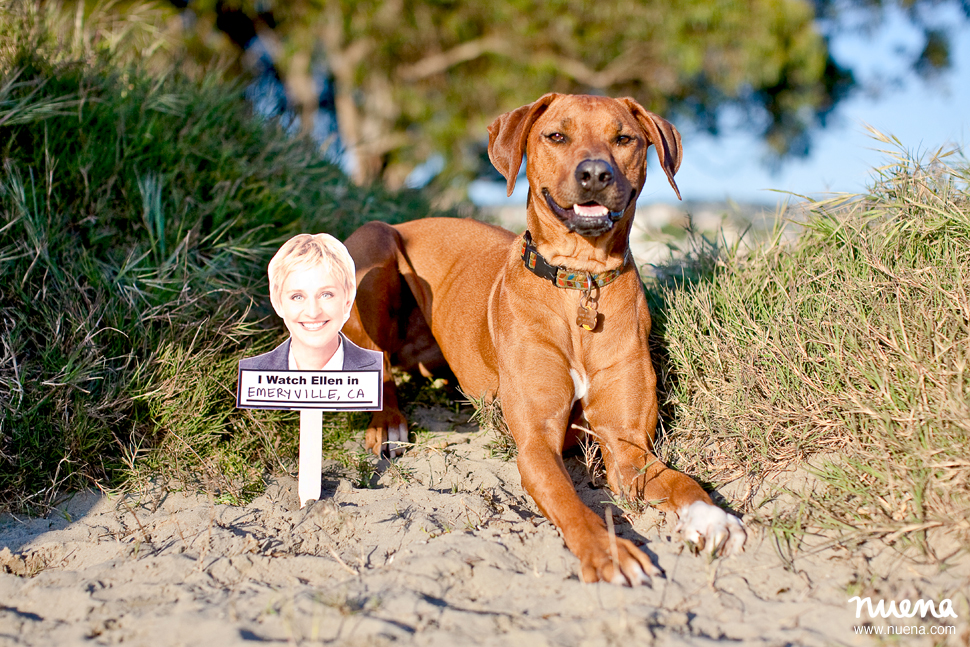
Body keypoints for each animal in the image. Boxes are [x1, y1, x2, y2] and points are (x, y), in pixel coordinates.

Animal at [344, 93, 744, 584]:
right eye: (556, 136)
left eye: (624, 138)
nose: (595, 173)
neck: (580, 281)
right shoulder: (536, 442)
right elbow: (570, 502)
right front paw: (607, 551)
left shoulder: (627, 446)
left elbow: (681, 481)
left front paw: (713, 517)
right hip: (373, 245)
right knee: (375, 358)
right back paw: (387, 422)